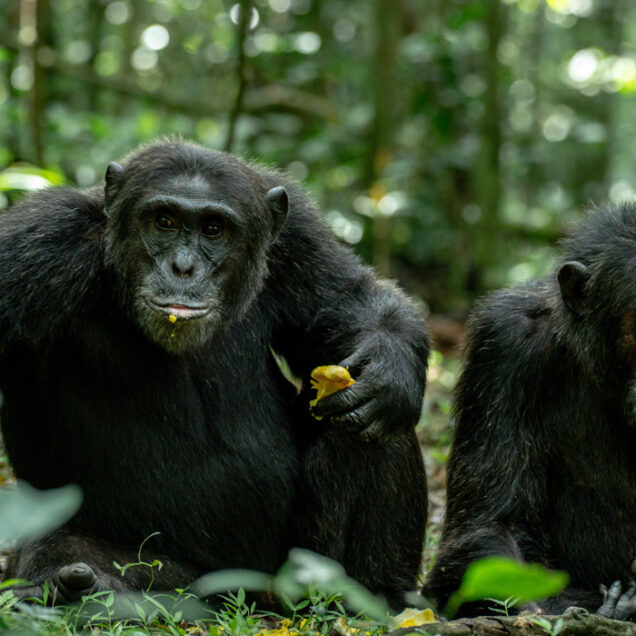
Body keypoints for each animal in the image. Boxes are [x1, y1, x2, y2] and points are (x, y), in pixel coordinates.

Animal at [0, 138, 430, 608]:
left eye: (213, 230)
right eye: (164, 221)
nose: (184, 267)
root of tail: (251, 594)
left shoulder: (298, 235)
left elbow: (346, 298)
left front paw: (390, 370)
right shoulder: (44, 238)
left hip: (297, 564)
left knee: (371, 428)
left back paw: (376, 595)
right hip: (183, 579)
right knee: (61, 546)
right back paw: (82, 588)